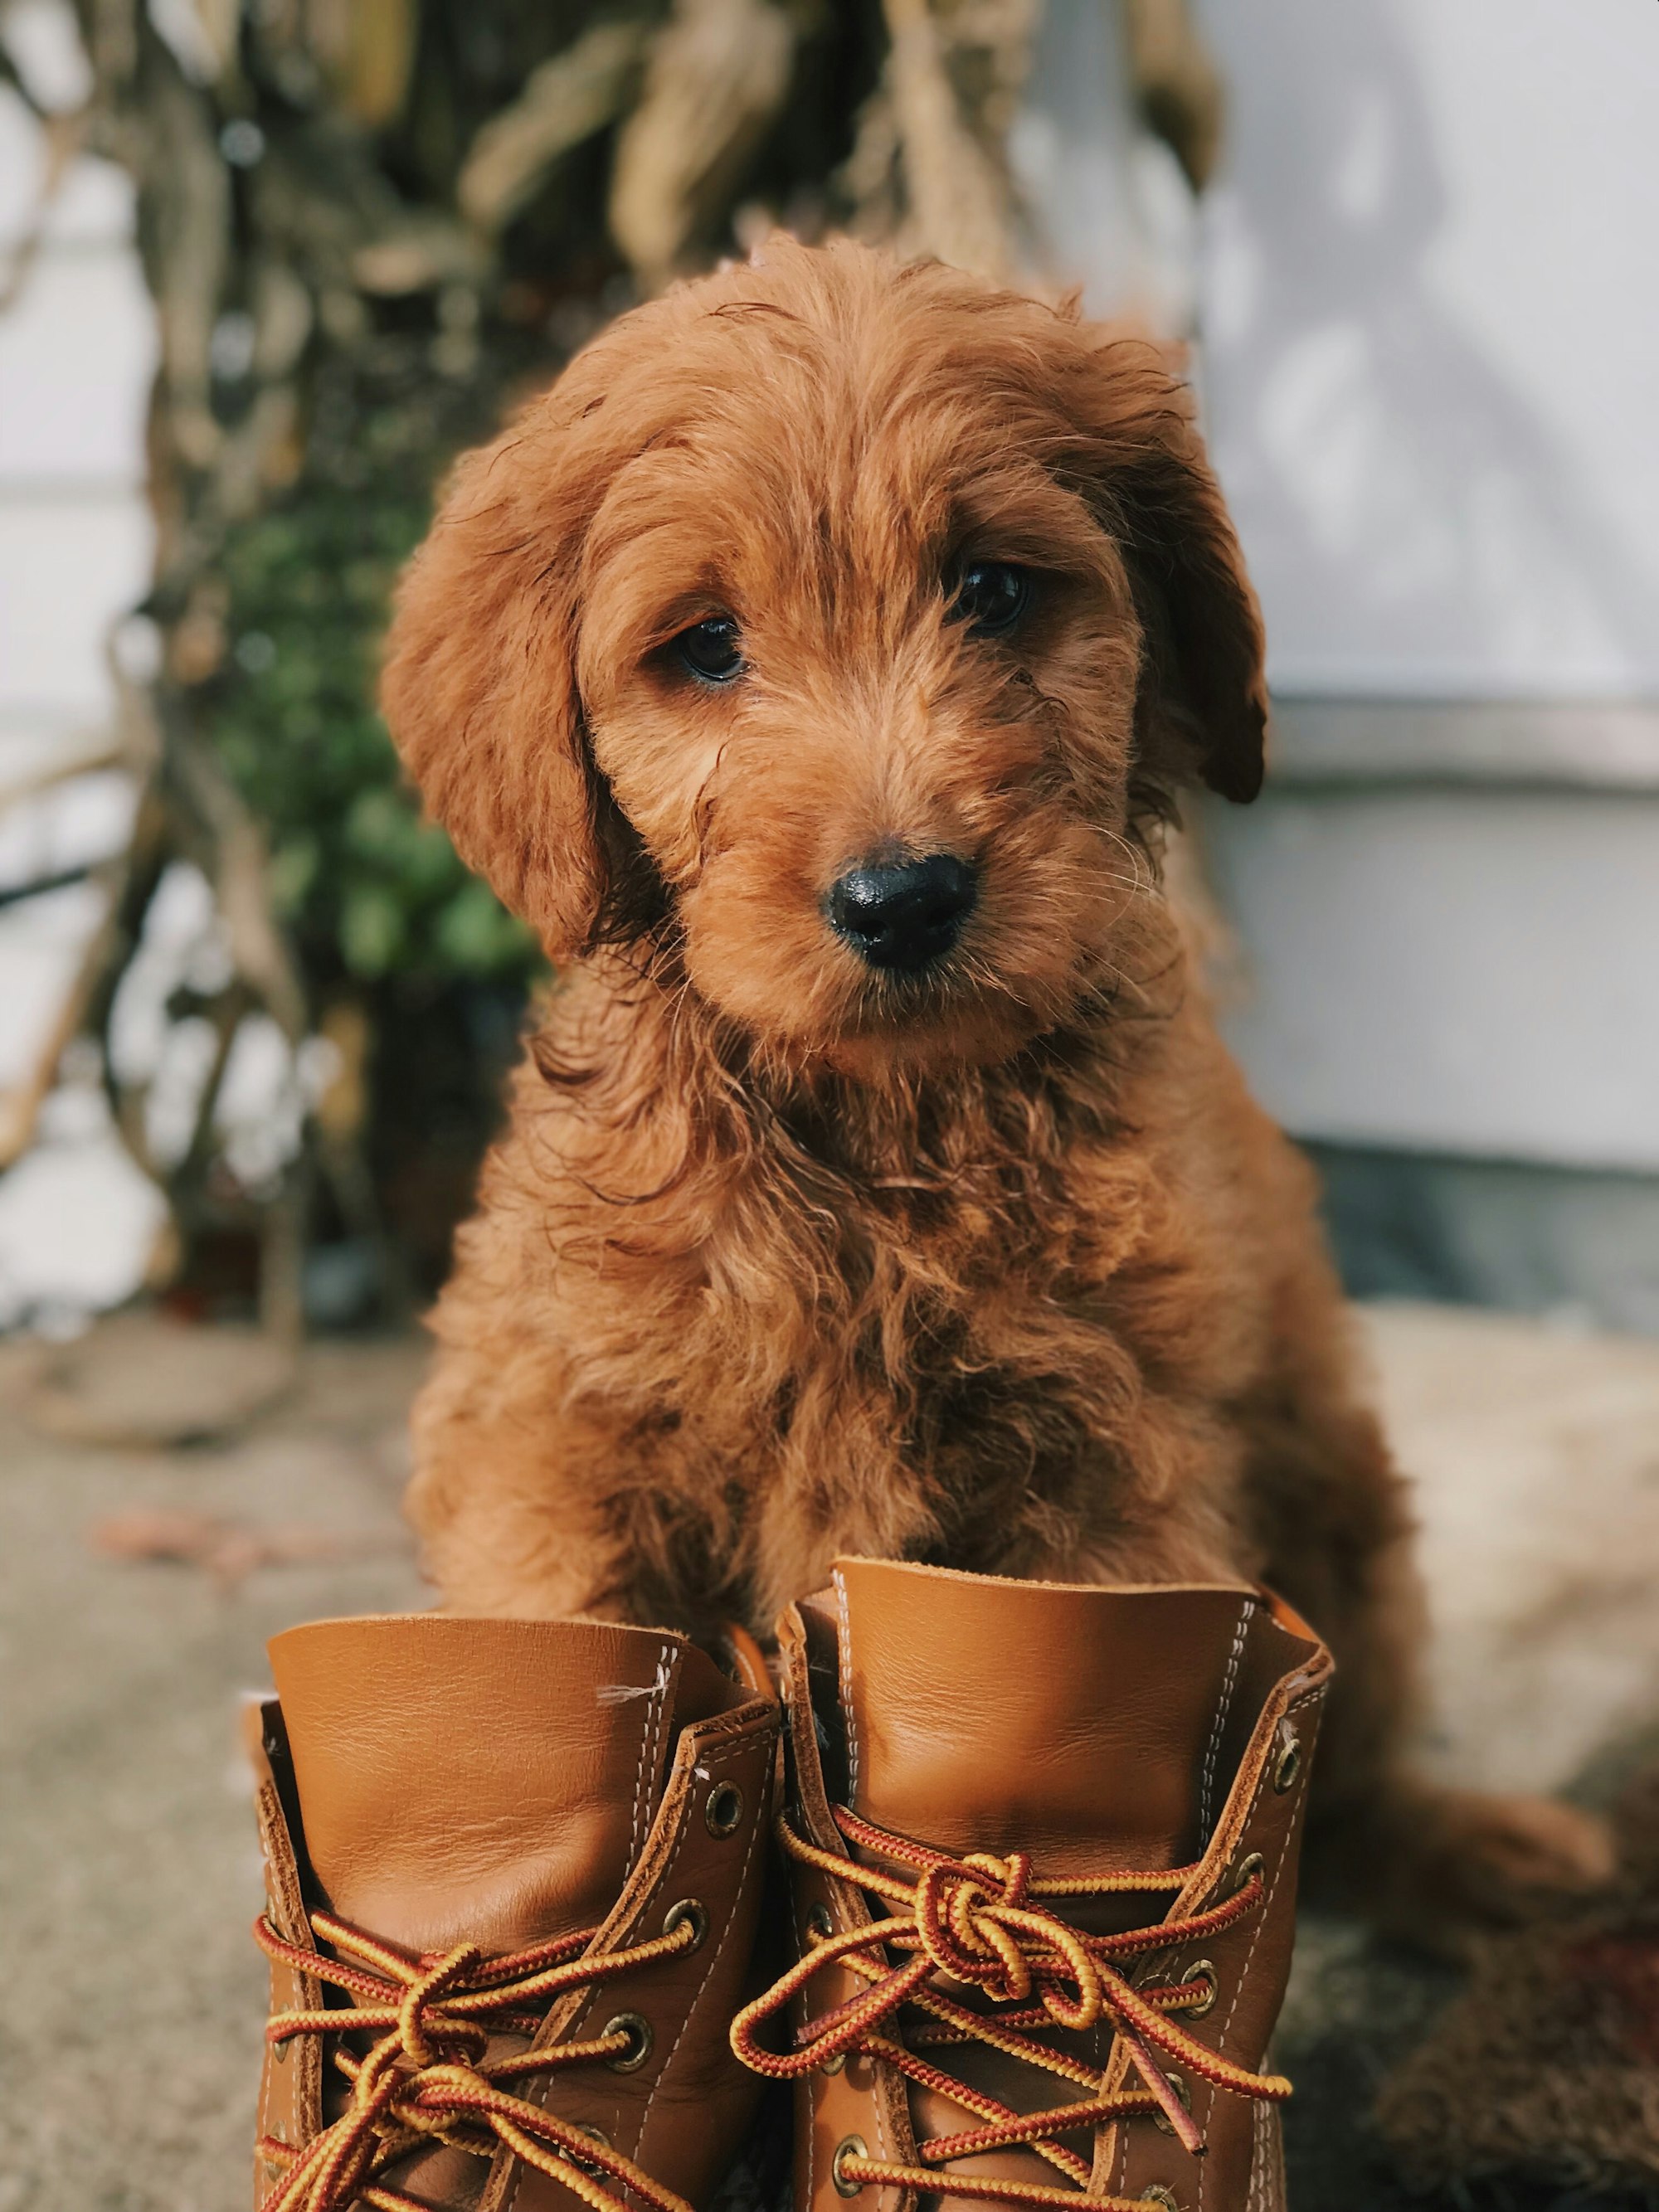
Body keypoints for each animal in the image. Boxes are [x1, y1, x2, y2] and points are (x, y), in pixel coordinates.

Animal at [387, 242, 1610, 1928]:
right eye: (706, 645)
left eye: (992, 588)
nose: (902, 899)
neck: (884, 1136)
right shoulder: (551, 1437)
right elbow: (558, 1652)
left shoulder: (1108, 1483)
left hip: (1344, 1484)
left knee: (1356, 1761)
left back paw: (1472, 1845)